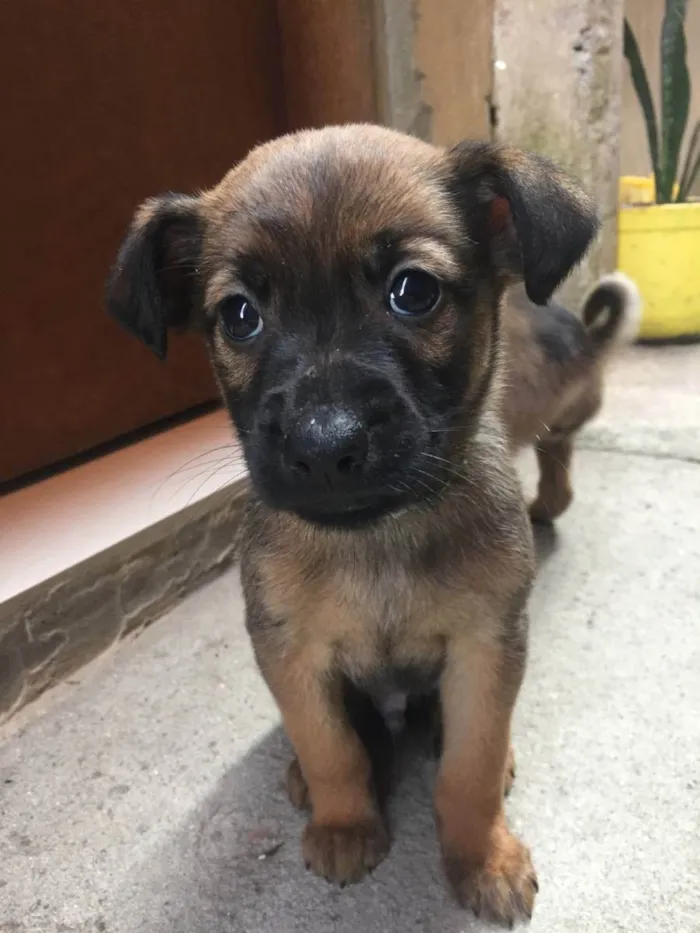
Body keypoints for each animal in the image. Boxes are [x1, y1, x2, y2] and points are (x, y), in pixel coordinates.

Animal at [106, 124, 600, 924]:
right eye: (238, 315)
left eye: (414, 291)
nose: (322, 444)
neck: (376, 542)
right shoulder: (292, 652)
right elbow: (330, 745)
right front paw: (343, 823)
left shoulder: (485, 647)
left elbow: (469, 765)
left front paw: (482, 856)